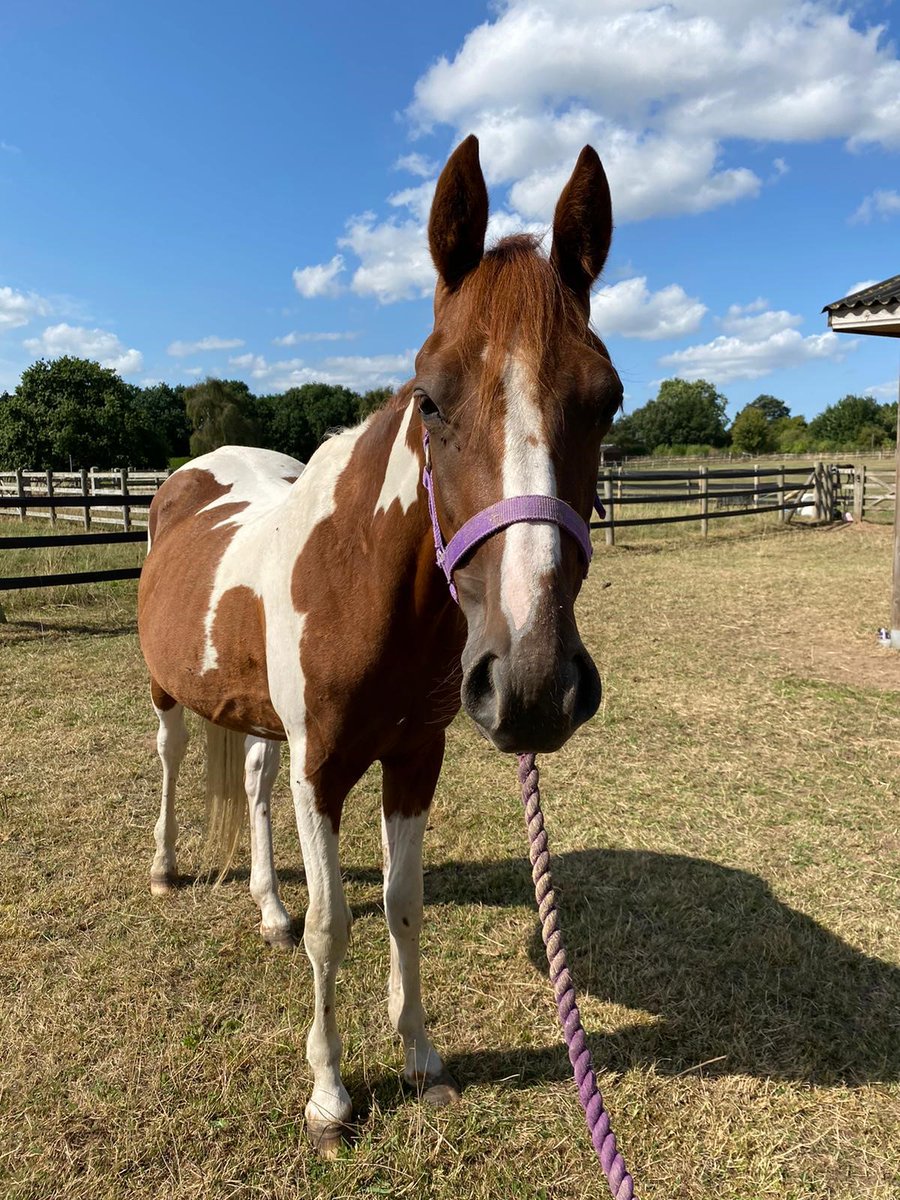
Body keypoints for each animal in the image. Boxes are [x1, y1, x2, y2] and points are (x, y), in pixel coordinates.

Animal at [137, 136, 624, 1156]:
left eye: (606, 400)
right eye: (430, 401)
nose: (533, 686)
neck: (358, 582)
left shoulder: (412, 757)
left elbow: (402, 906)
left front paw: (423, 1061)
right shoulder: (322, 767)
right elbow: (335, 927)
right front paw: (330, 1097)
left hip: (267, 726)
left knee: (251, 788)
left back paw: (267, 907)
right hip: (169, 696)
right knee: (170, 760)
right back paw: (165, 869)